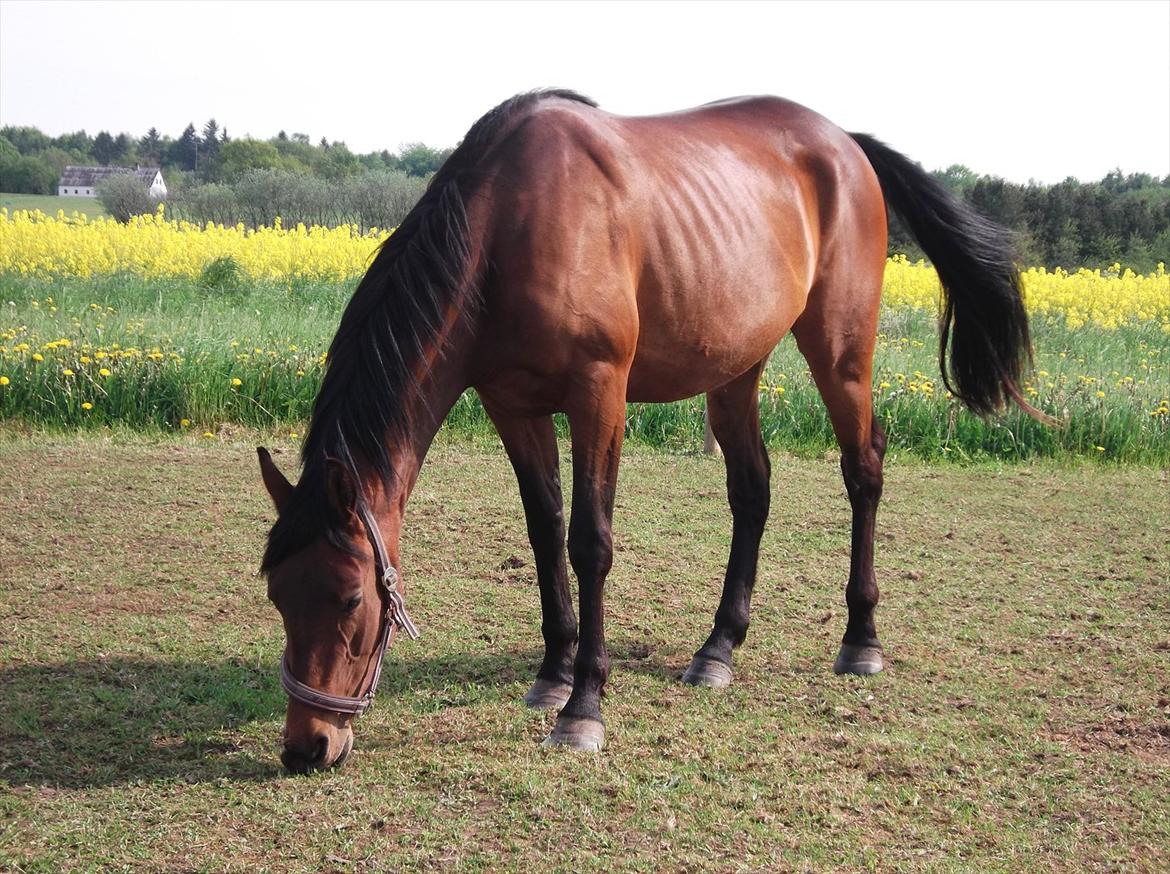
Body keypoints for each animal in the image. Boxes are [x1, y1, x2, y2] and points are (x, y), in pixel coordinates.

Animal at [256, 88, 1034, 772]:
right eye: (277, 594)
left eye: (352, 598)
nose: (308, 746)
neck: (510, 223)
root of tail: (844, 143)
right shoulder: (514, 407)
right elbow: (545, 533)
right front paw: (553, 672)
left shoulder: (600, 396)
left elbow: (589, 542)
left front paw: (584, 707)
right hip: (736, 368)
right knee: (752, 490)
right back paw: (718, 648)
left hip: (840, 354)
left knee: (863, 470)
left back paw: (860, 640)